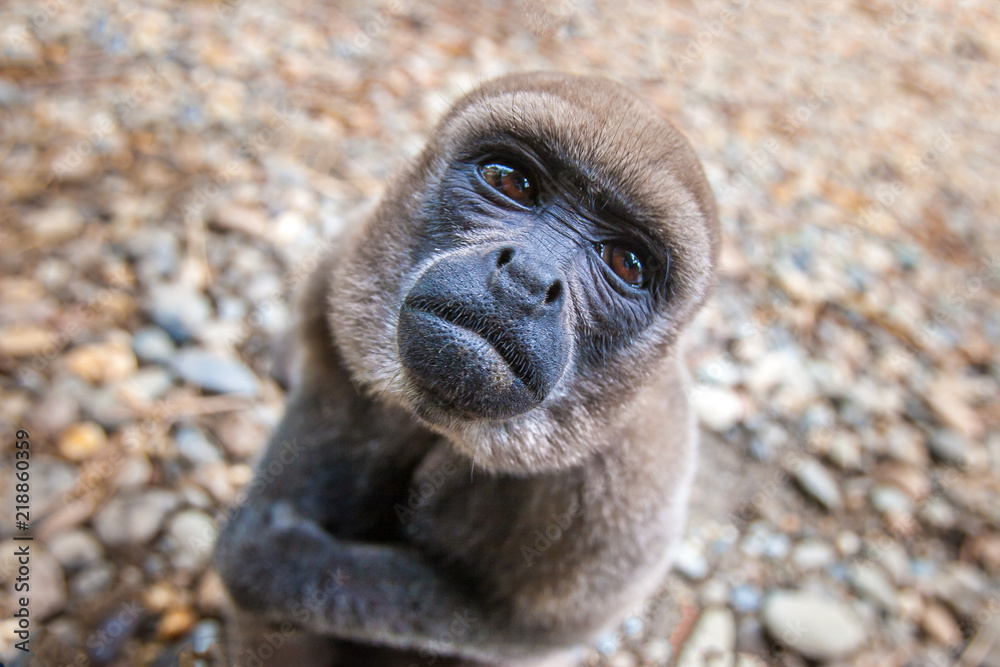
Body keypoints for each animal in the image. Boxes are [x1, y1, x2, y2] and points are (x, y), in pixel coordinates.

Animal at [214, 72, 720, 667]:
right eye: (510, 181)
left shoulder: (630, 489)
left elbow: (518, 629)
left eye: (627, 263)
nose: (527, 278)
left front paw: (278, 562)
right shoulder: (336, 277)